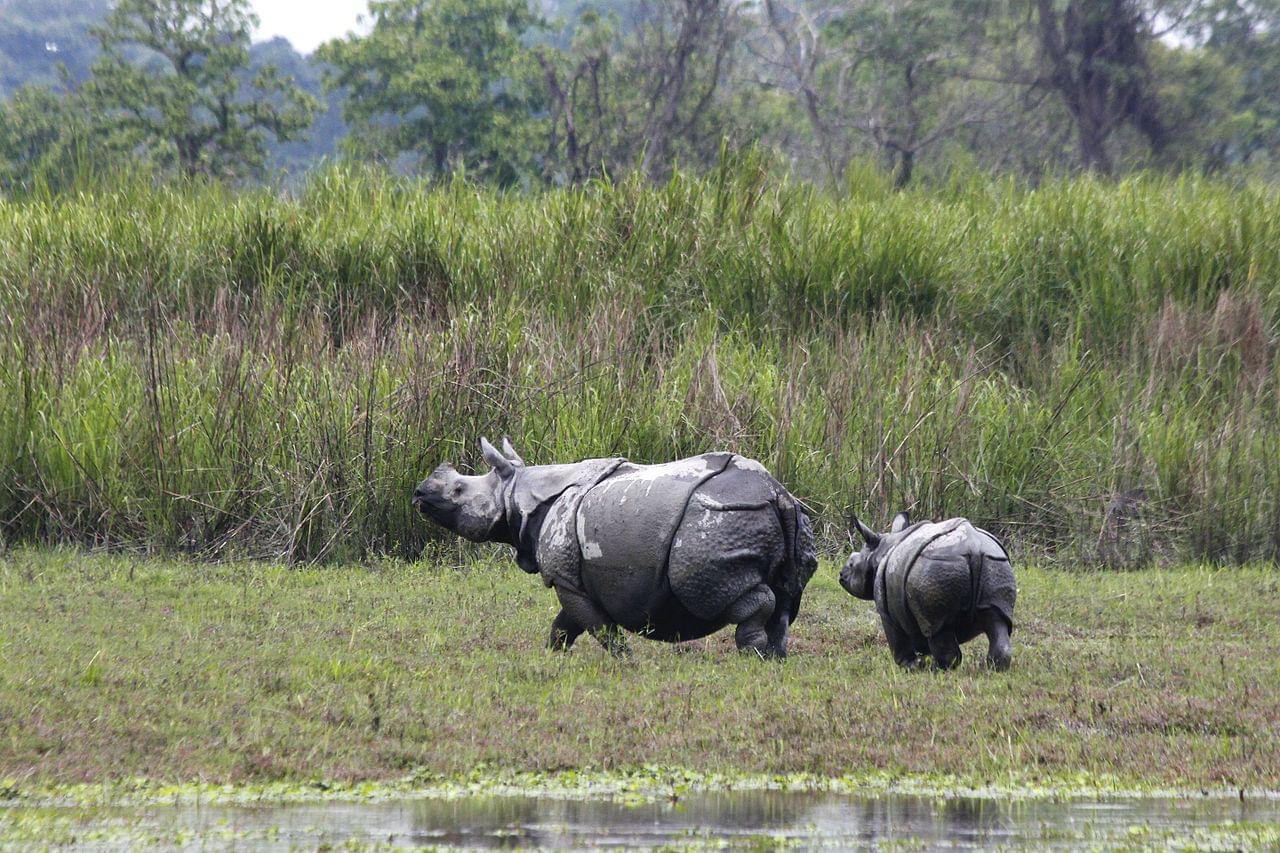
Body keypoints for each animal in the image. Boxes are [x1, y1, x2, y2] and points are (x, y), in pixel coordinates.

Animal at [414, 435, 814, 653]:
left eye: (457, 490)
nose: (418, 493)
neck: (516, 492)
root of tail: (776, 493)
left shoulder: (566, 579)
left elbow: (597, 626)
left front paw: (625, 661)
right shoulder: (574, 580)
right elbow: (563, 626)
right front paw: (552, 657)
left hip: (721, 518)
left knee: (724, 592)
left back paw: (752, 657)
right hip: (787, 518)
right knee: (786, 599)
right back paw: (775, 658)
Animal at [839, 507, 1018, 666]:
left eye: (851, 563)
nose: (841, 576)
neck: (878, 552)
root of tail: (973, 547)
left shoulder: (885, 609)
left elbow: (898, 637)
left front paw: (911, 666)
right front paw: (920, 661)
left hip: (935, 568)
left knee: (938, 628)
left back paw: (937, 670)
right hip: (995, 564)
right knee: (998, 620)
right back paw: (993, 668)